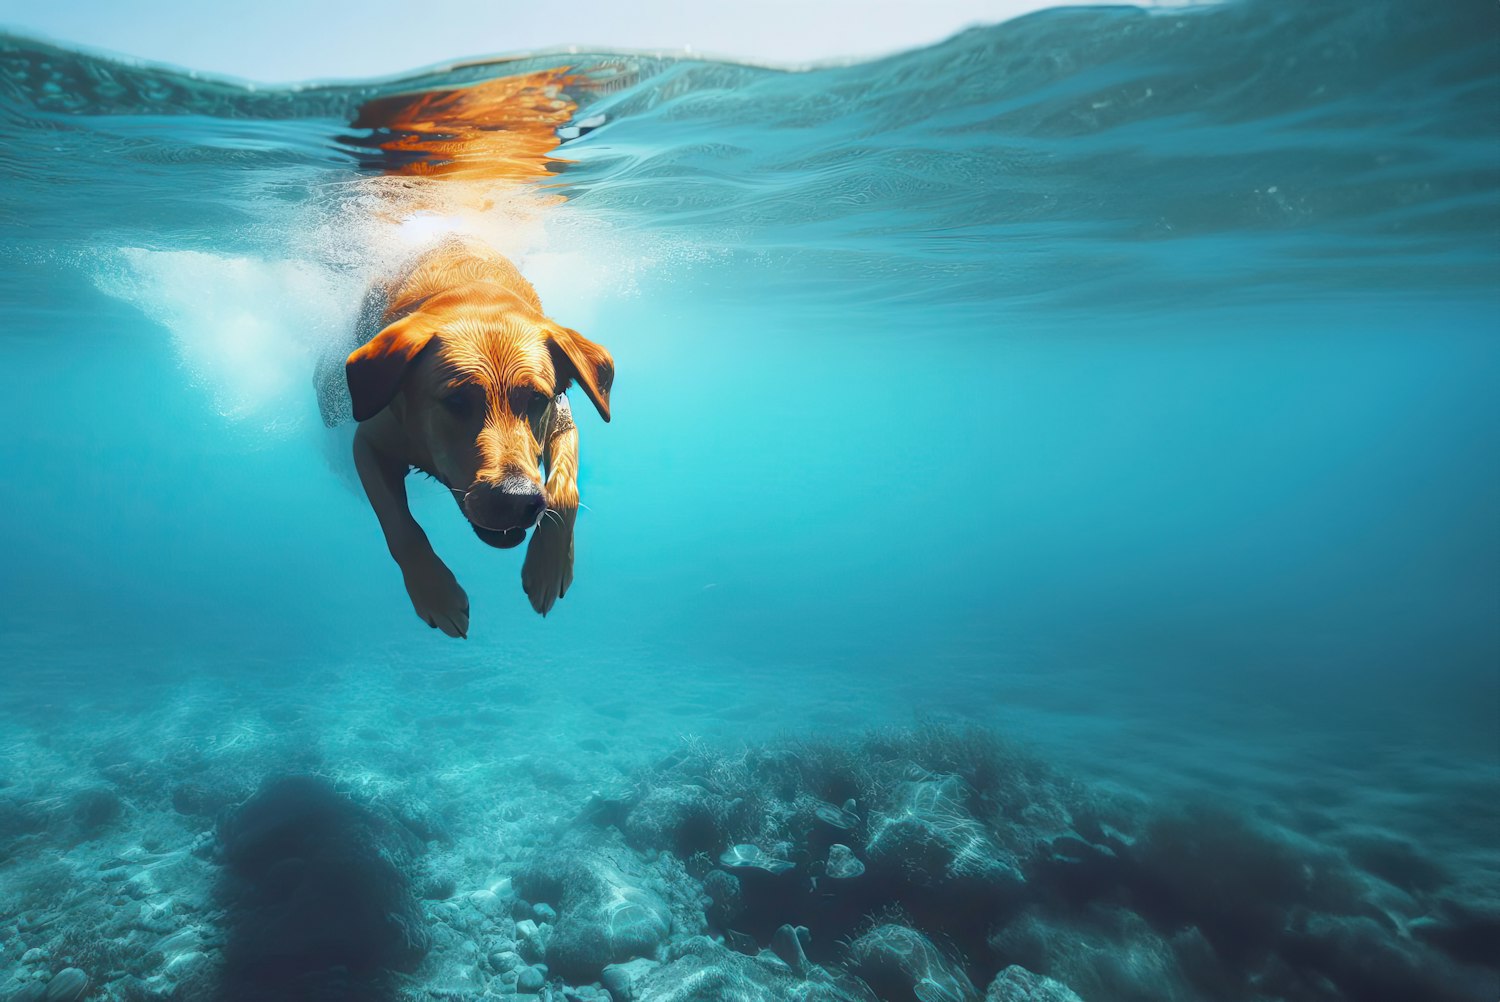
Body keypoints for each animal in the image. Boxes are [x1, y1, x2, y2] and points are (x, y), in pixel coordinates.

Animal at [343, 70, 612, 639]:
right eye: (455, 403)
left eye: (537, 400)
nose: (517, 498)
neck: (474, 295)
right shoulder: (369, 441)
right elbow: (399, 524)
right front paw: (435, 592)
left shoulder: (563, 419)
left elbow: (564, 489)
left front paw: (548, 566)